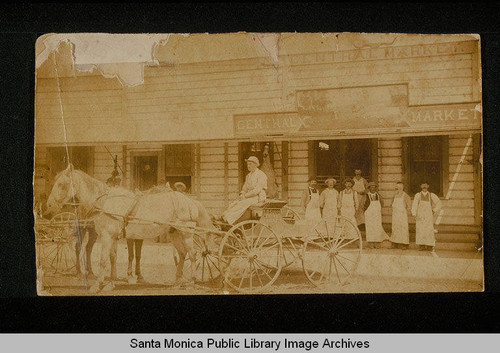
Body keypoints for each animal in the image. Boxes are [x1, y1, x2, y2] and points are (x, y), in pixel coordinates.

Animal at [44, 165, 214, 292]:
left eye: (61, 185)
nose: (48, 209)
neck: (105, 202)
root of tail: (190, 200)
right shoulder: (112, 237)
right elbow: (112, 258)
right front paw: (111, 283)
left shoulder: (106, 236)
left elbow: (103, 260)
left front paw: (97, 285)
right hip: (175, 234)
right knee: (183, 254)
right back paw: (177, 282)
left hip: (186, 233)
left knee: (192, 254)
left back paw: (191, 282)